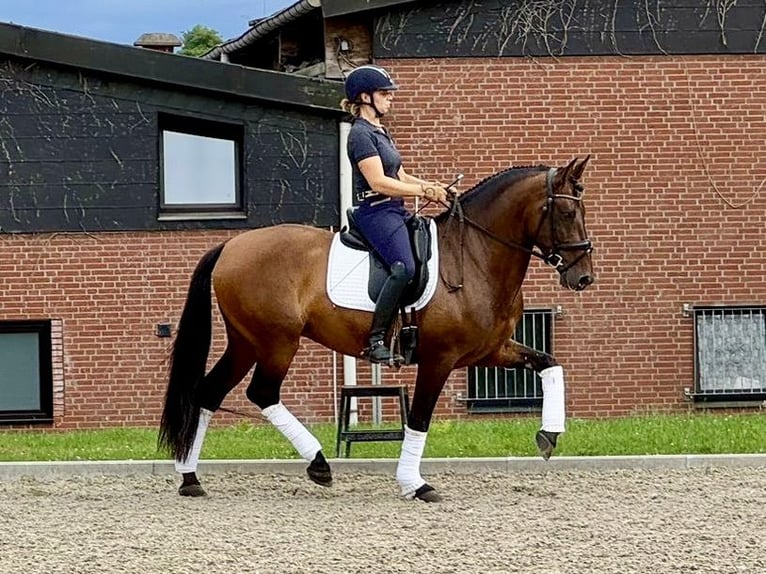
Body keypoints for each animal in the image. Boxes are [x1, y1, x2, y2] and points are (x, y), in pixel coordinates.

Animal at [159, 156, 594, 502]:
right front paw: (415, 484)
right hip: (276, 342)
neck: (474, 256)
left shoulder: (492, 350)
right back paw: (319, 465)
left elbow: (550, 363)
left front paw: (549, 436)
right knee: (262, 393)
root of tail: (231, 246)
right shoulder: (439, 360)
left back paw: (190, 478)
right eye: (567, 214)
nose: (583, 278)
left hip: (246, 342)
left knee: (209, 392)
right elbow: (419, 419)